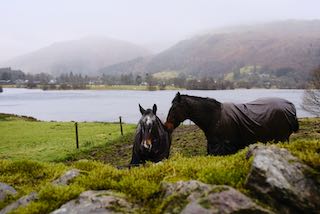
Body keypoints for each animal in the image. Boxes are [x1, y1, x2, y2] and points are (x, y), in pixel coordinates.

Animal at [165, 92, 300, 155]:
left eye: (174, 108)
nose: (167, 126)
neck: (214, 117)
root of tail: (291, 107)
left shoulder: (223, 148)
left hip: (281, 139)